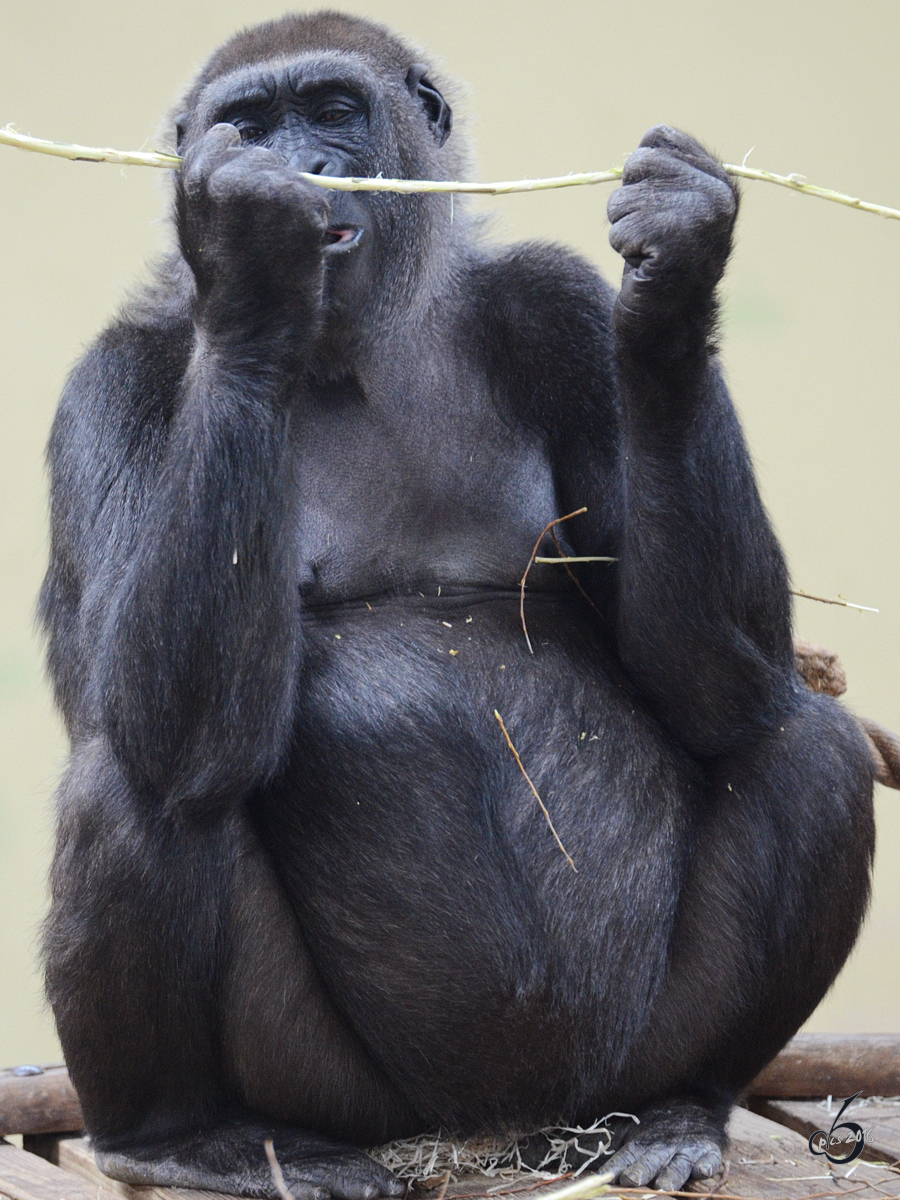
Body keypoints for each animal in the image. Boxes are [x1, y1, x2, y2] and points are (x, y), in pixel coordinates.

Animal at [38, 11, 878, 1200]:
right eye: (251, 123)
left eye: (333, 109)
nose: (309, 165)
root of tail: (492, 1131)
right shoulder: (107, 388)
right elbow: (164, 729)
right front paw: (248, 256)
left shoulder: (556, 308)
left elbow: (721, 684)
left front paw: (673, 278)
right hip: (348, 1099)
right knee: (138, 784)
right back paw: (179, 1137)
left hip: (611, 1070)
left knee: (804, 745)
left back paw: (685, 1107)